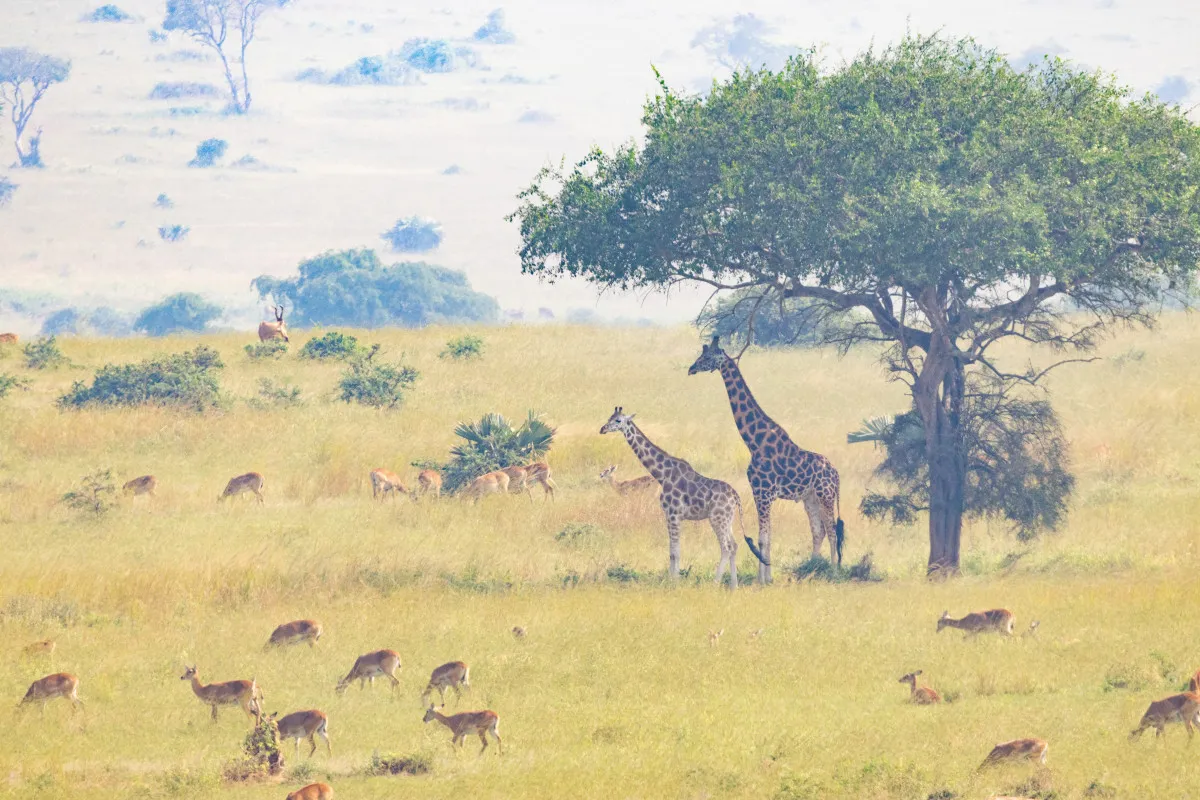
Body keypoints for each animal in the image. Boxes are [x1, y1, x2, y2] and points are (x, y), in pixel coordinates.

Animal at [599, 407, 744, 589]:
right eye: (609, 418)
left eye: (618, 420)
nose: (602, 429)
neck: (662, 475)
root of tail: (736, 497)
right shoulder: (670, 515)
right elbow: (672, 550)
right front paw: (672, 578)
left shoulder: (674, 515)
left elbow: (675, 551)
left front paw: (674, 581)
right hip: (728, 519)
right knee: (734, 545)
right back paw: (734, 585)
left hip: (717, 518)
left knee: (726, 547)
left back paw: (715, 582)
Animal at [688, 336, 844, 584]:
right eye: (701, 355)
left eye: (707, 356)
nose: (691, 368)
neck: (754, 442)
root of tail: (836, 474)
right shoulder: (759, 493)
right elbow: (767, 536)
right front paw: (767, 577)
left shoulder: (763, 493)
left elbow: (762, 538)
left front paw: (761, 580)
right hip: (810, 498)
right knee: (818, 531)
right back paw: (812, 566)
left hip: (825, 495)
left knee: (831, 531)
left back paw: (833, 571)